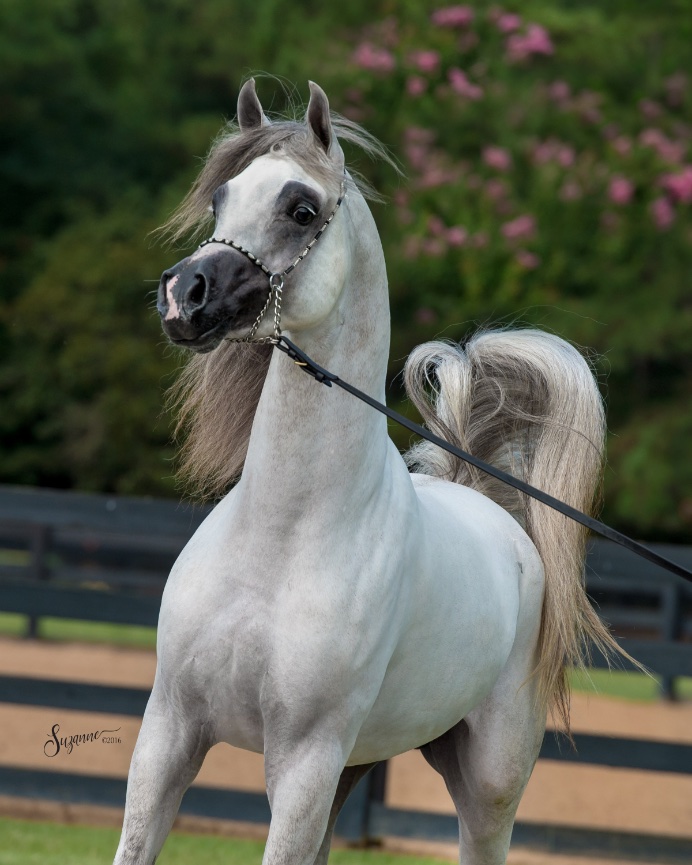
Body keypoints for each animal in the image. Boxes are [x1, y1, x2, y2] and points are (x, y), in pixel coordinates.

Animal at [115, 77, 620, 860]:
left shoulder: (304, 763)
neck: (282, 537)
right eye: (221, 198)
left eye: (301, 209)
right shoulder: (168, 734)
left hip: (487, 785)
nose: (182, 295)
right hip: (356, 767)